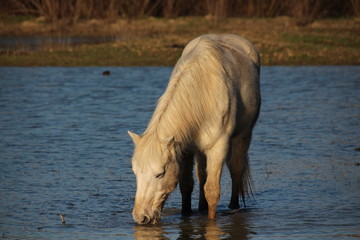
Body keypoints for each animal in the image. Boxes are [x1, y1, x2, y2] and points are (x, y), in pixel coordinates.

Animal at [128, 33, 260, 225]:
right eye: (136, 172)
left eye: (160, 174)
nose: (141, 217)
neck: (203, 94)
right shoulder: (184, 149)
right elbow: (187, 185)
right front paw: (186, 215)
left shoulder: (218, 148)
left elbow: (212, 190)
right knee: (202, 175)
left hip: (243, 136)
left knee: (236, 171)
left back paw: (233, 206)